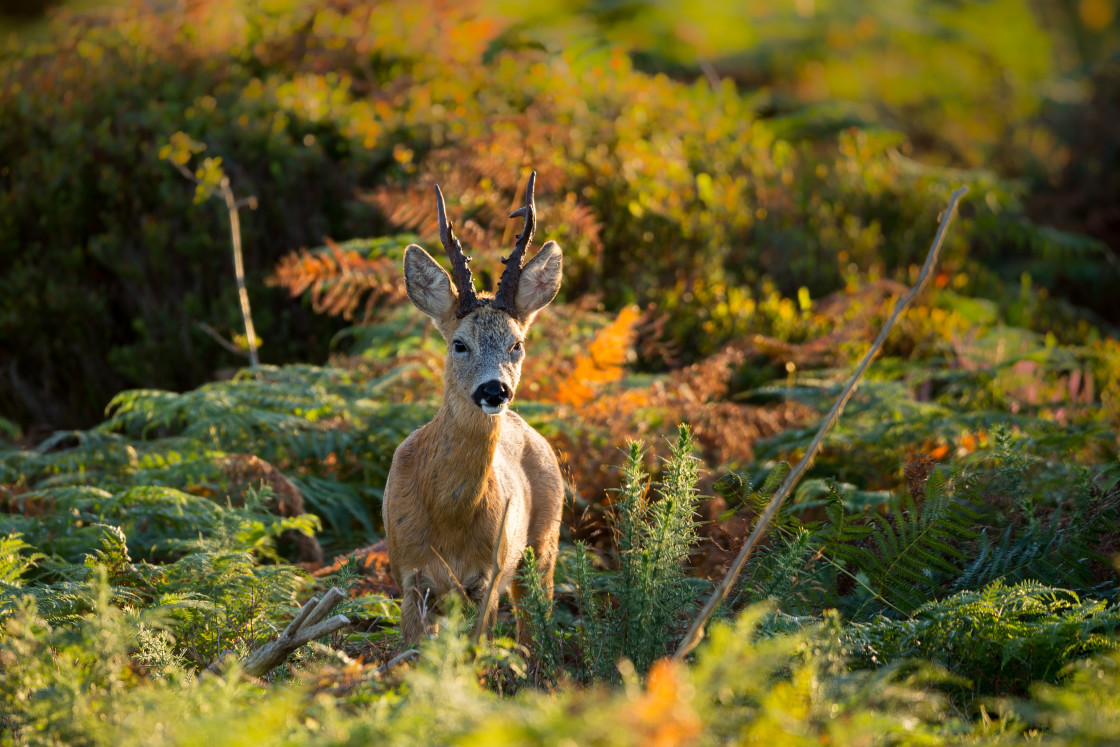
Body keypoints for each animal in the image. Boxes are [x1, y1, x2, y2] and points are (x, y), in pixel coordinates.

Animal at [383, 172, 564, 645]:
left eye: (517, 344)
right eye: (459, 343)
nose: (495, 389)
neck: (449, 518)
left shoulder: (489, 575)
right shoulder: (407, 576)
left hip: (544, 542)